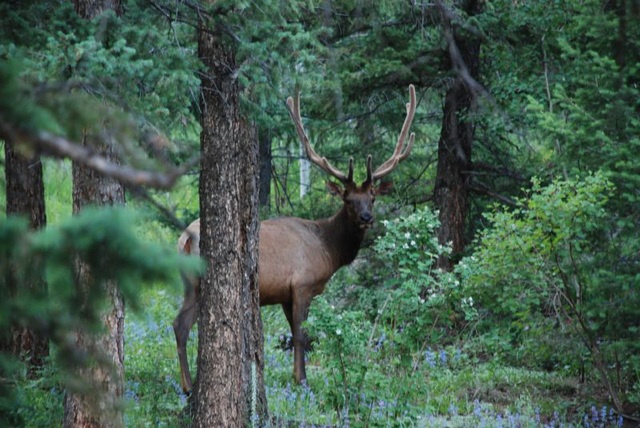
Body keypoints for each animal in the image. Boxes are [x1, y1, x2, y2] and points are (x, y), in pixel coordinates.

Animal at [172, 84, 418, 394]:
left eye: (372, 198)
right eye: (348, 199)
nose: (366, 217)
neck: (329, 249)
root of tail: (184, 239)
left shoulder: (285, 294)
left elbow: (294, 333)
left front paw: (297, 375)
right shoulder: (302, 284)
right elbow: (302, 335)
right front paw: (302, 380)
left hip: (189, 283)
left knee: (178, 324)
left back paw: (187, 386)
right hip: (199, 281)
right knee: (182, 325)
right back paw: (190, 385)